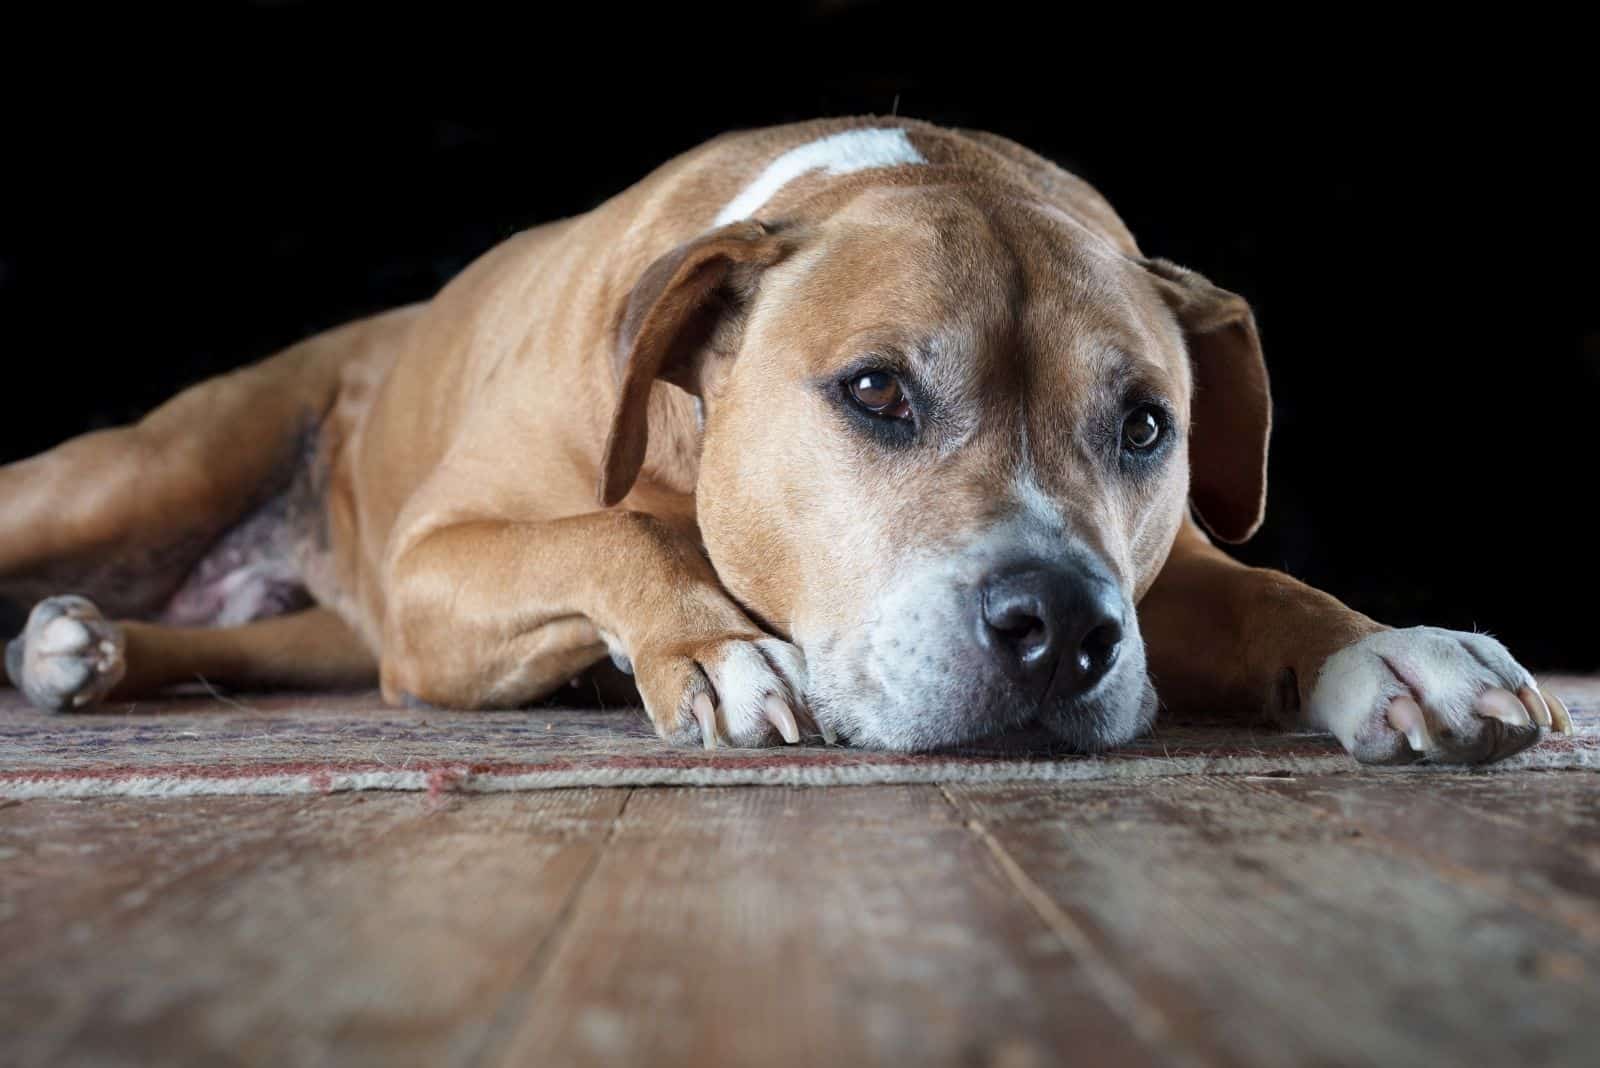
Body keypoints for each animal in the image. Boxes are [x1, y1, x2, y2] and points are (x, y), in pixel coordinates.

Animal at [3, 120, 1574, 764]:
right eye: (876, 392)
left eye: (1146, 426)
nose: (1063, 631)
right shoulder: (442, 570)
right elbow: (618, 524)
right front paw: (717, 647)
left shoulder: (1164, 571)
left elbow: (1268, 592)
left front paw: (1401, 654)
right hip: (149, 472)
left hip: (338, 632)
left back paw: (87, 648)